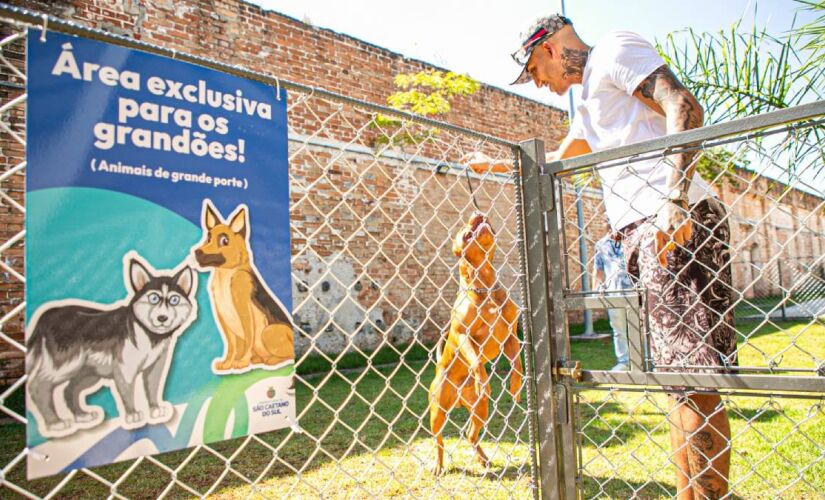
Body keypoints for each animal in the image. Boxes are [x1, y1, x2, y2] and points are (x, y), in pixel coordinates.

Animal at [26, 254, 196, 438]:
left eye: (174, 300)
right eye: (153, 298)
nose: (162, 318)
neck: (148, 334)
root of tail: (45, 315)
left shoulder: (155, 367)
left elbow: (152, 388)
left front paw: (155, 409)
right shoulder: (124, 368)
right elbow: (128, 392)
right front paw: (132, 415)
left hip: (88, 372)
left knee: (69, 390)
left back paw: (82, 416)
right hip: (66, 365)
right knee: (37, 386)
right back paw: (55, 423)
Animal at [192, 201, 294, 374]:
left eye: (224, 241)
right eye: (208, 237)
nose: (197, 252)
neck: (227, 273)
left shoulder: (244, 310)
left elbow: (248, 337)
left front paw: (242, 361)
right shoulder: (222, 316)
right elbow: (232, 345)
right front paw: (228, 363)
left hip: (268, 332)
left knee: (288, 355)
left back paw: (270, 360)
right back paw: (257, 359)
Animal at [428, 212, 524, 476]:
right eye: (463, 227)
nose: (477, 214)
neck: (486, 286)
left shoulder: (511, 334)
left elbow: (517, 363)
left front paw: (516, 384)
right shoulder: (464, 336)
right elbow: (475, 360)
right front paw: (482, 379)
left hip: (480, 409)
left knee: (471, 435)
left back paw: (482, 459)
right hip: (437, 412)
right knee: (438, 440)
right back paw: (438, 465)